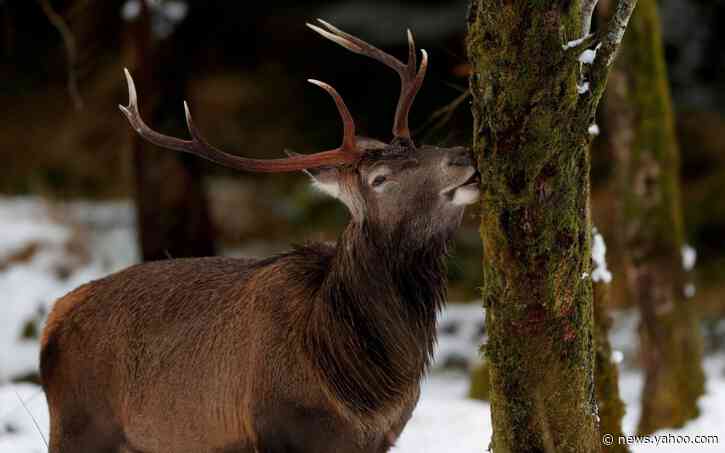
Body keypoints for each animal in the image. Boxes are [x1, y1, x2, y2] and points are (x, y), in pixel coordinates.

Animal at [40, 19, 480, 453]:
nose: (463, 155)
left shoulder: (384, 437)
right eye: (380, 179)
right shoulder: (280, 426)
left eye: (422, 145)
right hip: (82, 423)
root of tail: (53, 321)